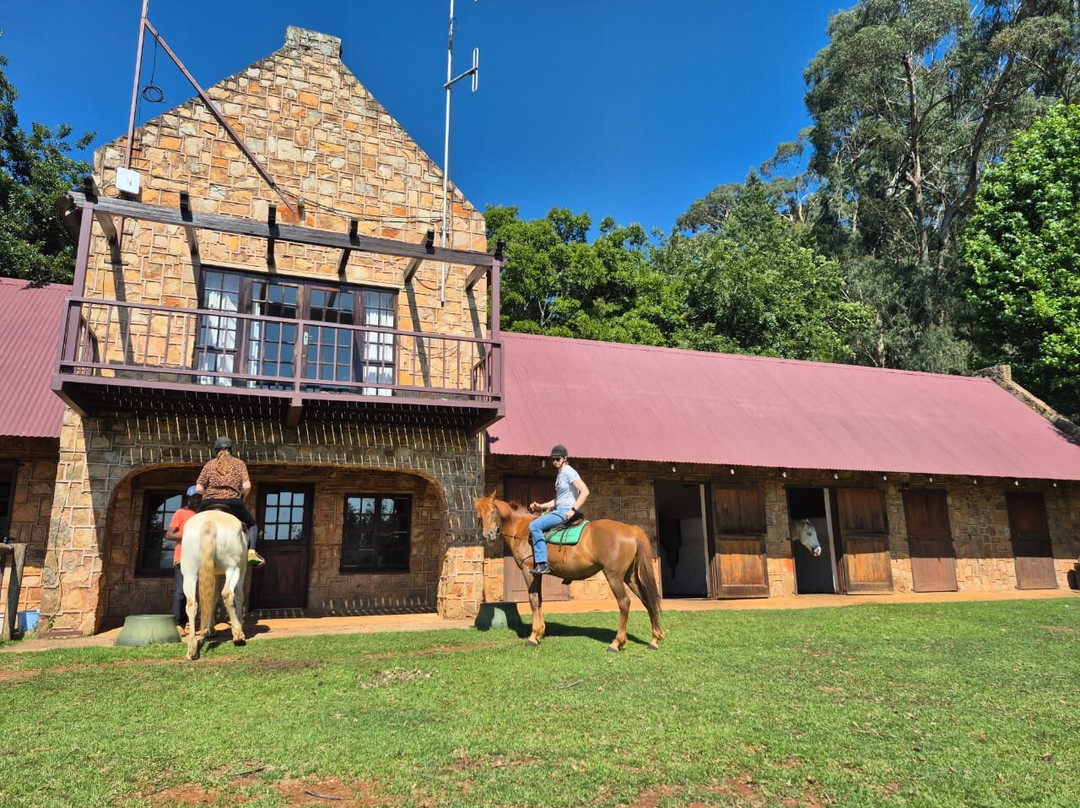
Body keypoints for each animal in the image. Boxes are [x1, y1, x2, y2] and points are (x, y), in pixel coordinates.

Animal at [180, 509, 248, 660]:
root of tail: (209, 522)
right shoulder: (242, 569)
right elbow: (239, 596)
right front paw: (240, 624)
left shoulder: (214, 574)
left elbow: (212, 598)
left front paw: (210, 630)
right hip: (233, 568)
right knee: (228, 594)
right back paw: (238, 635)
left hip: (189, 573)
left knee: (191, 603)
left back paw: (192, 646)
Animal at [474, 492, 664, 652]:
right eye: (478, 514)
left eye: (493, 510)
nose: (489, 534)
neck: (522, 530)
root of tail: (631, 529)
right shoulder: (538, 574)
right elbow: (539, 600)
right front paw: (540, 631)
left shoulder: (529, 572)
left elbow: (533, 600)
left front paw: (533, 636)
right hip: (629, 577)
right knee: (646, 599)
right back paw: (654, 639)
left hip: (614, 576)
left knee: (624, 603)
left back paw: (617, 643)